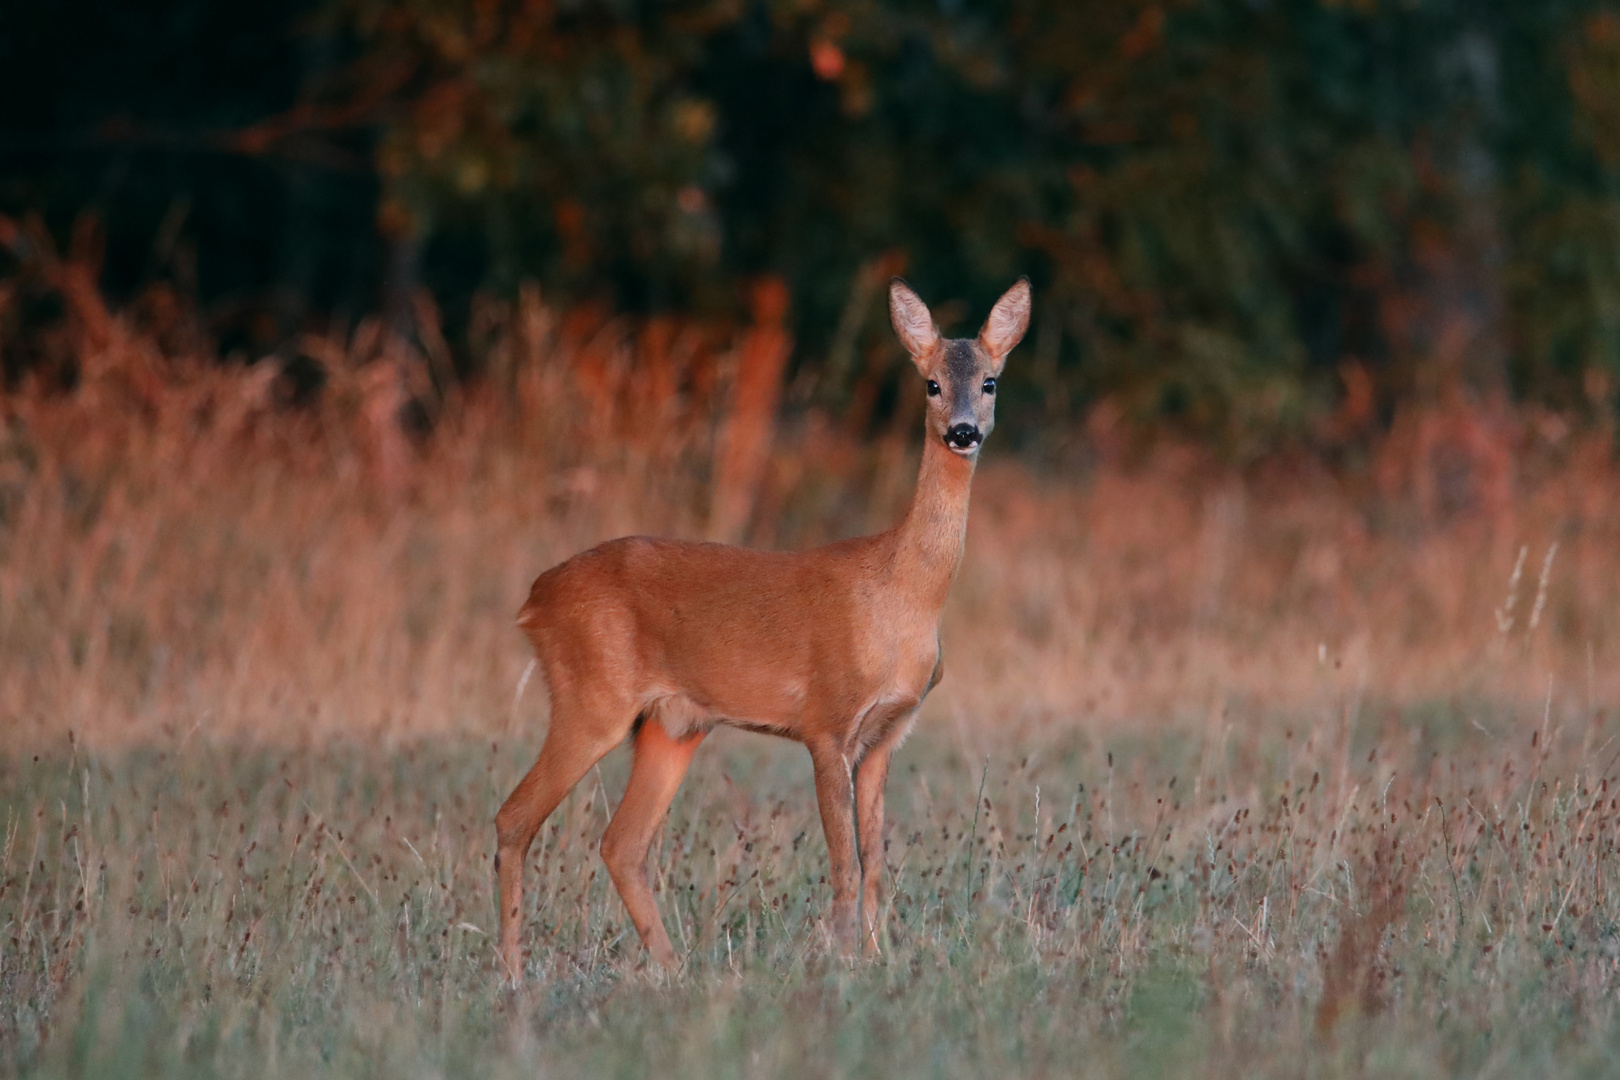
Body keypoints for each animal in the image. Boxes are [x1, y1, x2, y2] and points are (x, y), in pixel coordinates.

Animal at [492, 272, 1030, 977]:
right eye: (932, 384)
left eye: (990, 382)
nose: (964, 432)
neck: (902, 597)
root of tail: (534, 598)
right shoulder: (827, 722)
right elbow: (843, 866)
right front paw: (843, 964)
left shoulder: (887, 733)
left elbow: (876, 865)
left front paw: (879, 959)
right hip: (591, 696)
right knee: (514, 818)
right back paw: (513, 974)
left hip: (673, 724)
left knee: (621, 843)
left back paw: (673, 968)